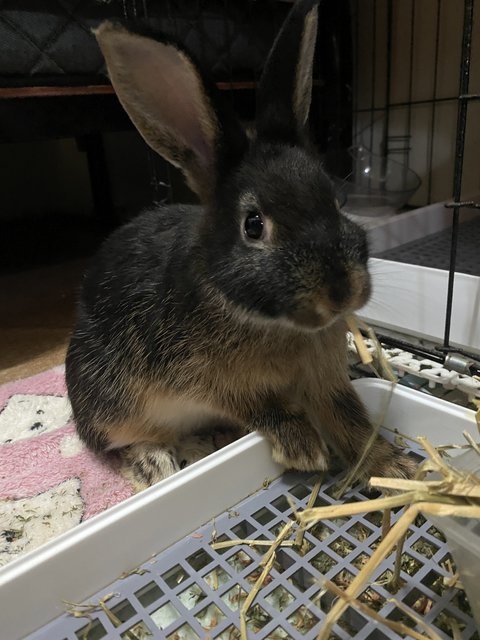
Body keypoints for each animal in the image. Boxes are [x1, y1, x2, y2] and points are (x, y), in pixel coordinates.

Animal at [64, 1, 416, 490]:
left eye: (334, 200)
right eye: (253, 225)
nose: (342, 293)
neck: (269, 322)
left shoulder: (325, 380)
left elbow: (350, 417)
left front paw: (393, 468)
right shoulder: (214, 383)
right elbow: (262, 407)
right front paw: (304, 448)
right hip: (111, 400)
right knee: (122, 440)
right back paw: (156, 466)